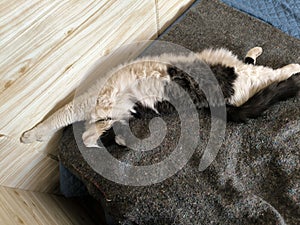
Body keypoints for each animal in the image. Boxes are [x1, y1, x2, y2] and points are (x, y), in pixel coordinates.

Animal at [19, 46, 298, 147]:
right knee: (259, 68)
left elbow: (58, 118)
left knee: (273, 73)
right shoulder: (107, 113)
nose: (106, 125)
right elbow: (89, 136)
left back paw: (293, 67)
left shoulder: (89, 104)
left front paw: (29, 135)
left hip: (241, 73)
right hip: (239, 74)